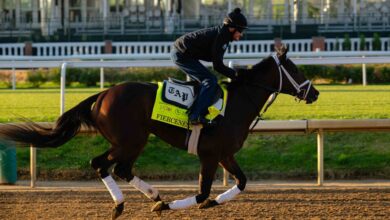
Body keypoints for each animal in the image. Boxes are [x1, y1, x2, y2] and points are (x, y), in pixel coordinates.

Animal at [0, 45, 318, 219]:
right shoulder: (210, 155)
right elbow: (201, 193)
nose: (314, 92)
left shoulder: (225, 154)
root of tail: (102, 94)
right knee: (102, 164)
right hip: (131, 140)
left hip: (132, 141)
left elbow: (240, 182)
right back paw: (124, 204)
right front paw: (167, 206)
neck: (236, 105)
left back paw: (151, 194)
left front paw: (210, 203)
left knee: (121, 169)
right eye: (296, 70)